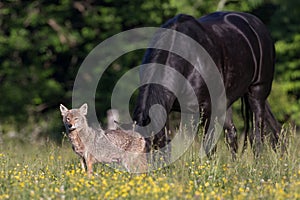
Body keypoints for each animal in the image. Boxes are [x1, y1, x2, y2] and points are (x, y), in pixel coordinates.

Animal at [132, 11, 280, 159]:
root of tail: (255, 22)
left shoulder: (208, 110)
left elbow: (210, 146)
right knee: (238, 134)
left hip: (257, 91)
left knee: (257, 136)